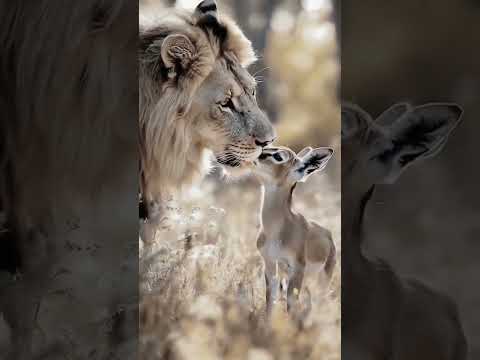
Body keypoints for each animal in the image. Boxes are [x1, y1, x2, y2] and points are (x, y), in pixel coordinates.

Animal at [253, 145, 336, 314]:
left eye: (279, 156)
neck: (275, 232)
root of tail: (328, 235)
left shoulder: (297, 268)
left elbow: (290, 305)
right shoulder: (270, 263)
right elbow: (270, 300)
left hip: (321, 279)